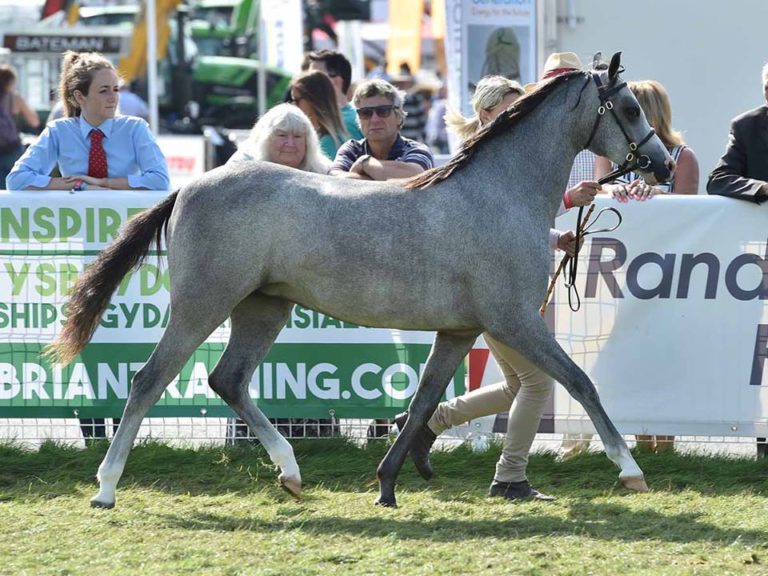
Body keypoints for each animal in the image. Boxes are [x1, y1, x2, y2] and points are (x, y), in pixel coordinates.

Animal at [46, 51, 672, 506]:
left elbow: (422, 402)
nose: (663, 164)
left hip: (263, 307)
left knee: (229, 380)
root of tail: (188, 188)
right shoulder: (514, 321)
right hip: (203, 305)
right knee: (149, 380)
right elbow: (581, 383)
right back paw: (106, 488)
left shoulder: (460, 331)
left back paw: (291, 473)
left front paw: (388, 484)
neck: (500, 194)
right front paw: (630, 470)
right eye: (628, 108)